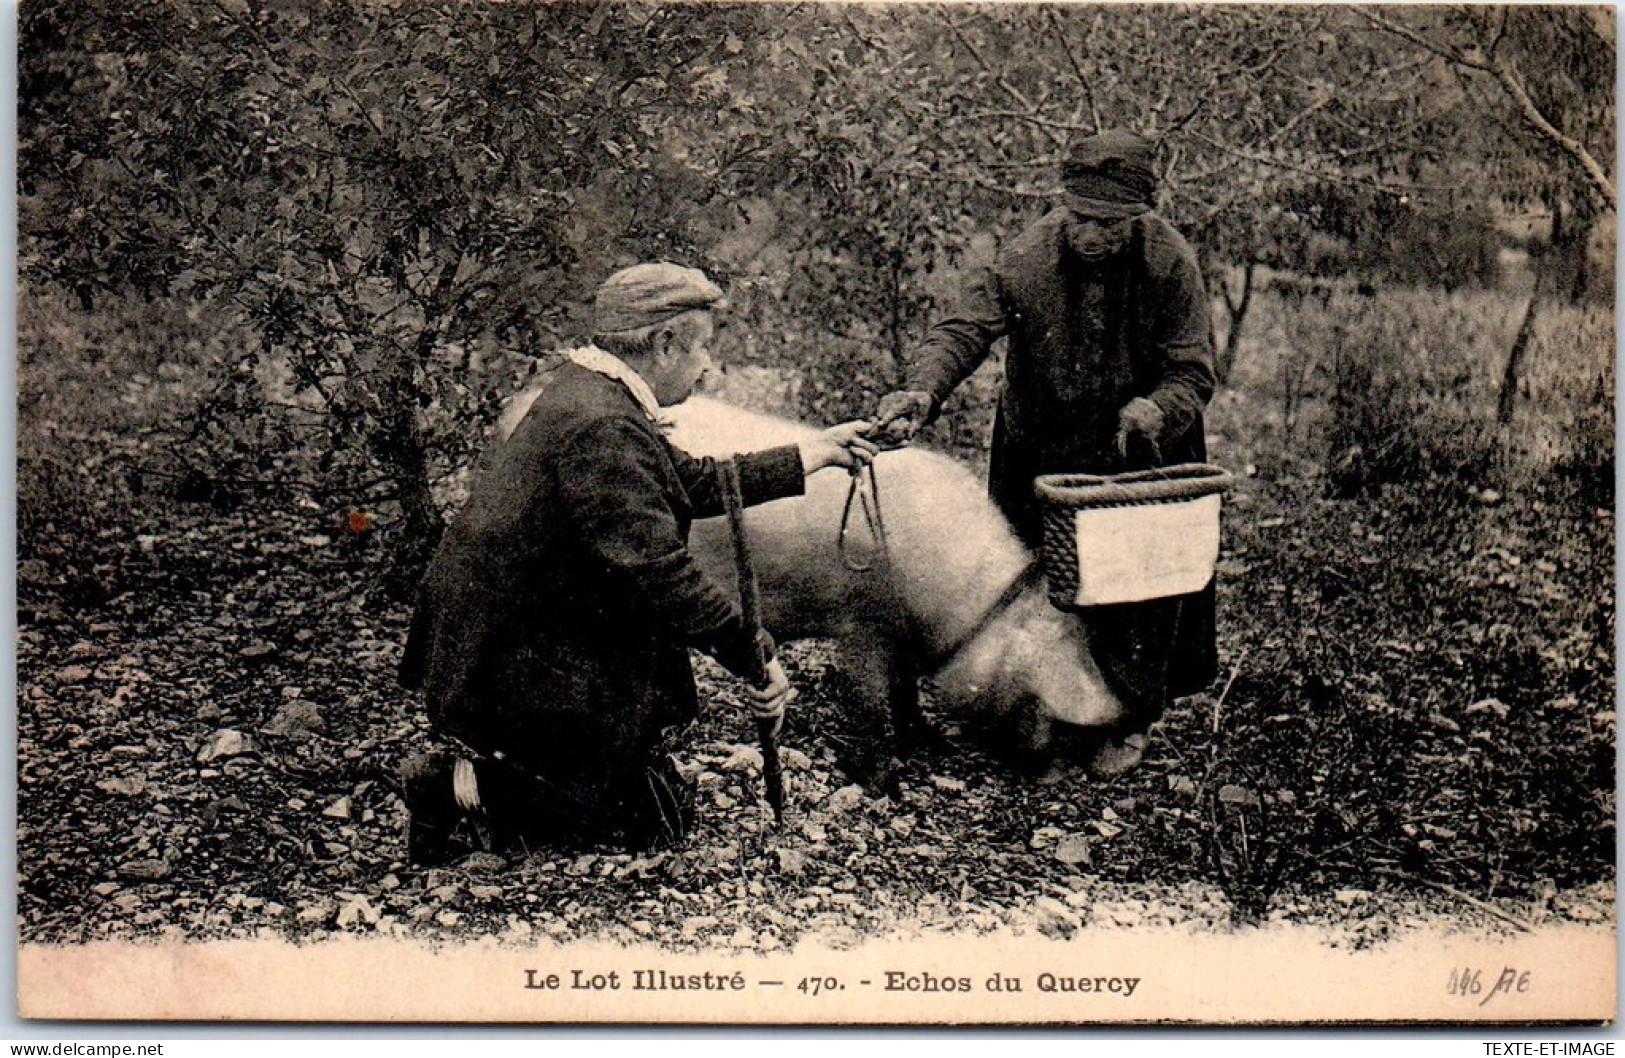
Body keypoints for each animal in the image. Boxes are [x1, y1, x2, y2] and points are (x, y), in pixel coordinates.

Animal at [663, 393, 1131, 783]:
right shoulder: (861, 625)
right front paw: (879, 780)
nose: (1066, 777)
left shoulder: (903, 637)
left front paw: (928, 742)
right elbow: (870, 702)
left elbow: (905, 690)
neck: (970, 607)